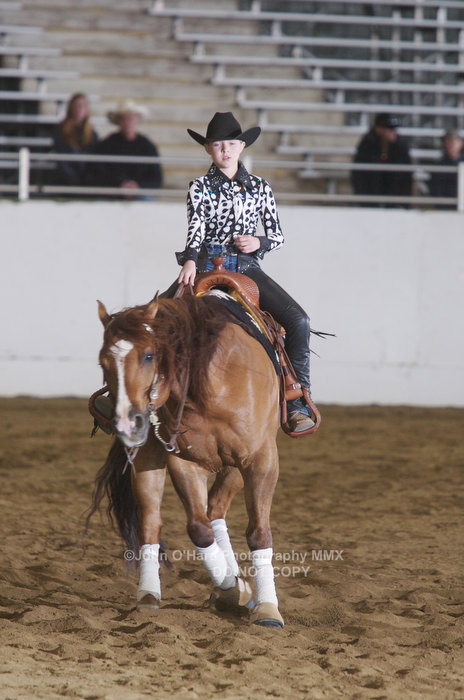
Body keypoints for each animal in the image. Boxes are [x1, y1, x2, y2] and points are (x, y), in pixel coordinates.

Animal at [88, 285, 285, 628]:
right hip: (148, 459)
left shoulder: (259, 459)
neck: (212, 382)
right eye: (103, 362)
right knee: (152, 522)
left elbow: (259, 533)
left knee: (217, 509)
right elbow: (198, 529)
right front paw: (233, 588)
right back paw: (149, 594)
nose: (126, 424)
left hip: (234, 466)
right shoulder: (185, 461)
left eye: (149, 355)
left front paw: (267, 608)